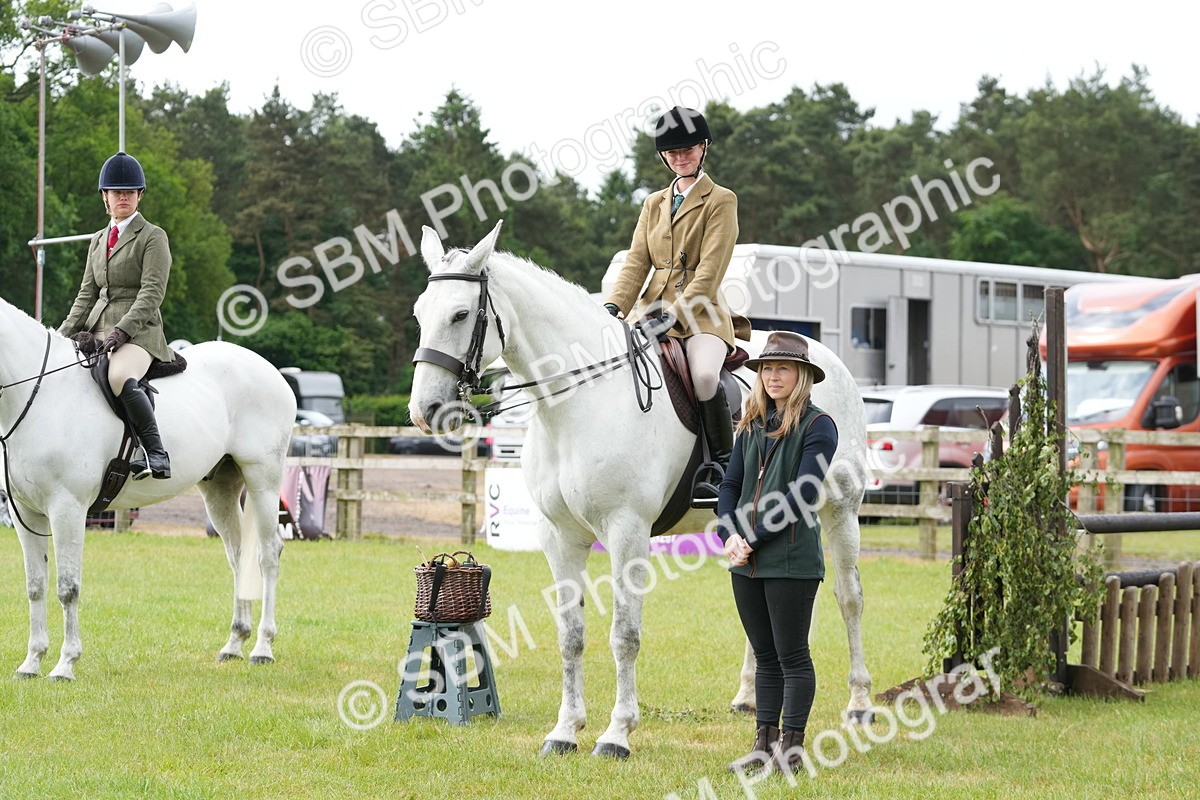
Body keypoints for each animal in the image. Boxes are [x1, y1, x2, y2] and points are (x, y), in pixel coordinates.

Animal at [0, 296, 296, 680]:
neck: (38, 395)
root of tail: (272, 372)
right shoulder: (26, 513)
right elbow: (35, 586)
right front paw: (32, 662)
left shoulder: (68, 509)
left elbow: (68, 588)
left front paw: (65, 664)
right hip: (220, 488)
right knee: (237, 555)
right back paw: (234, 644)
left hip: (264, 480)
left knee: (268, 555)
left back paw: (262, 647)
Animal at [409, 222, 872, 758]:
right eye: (419, 312)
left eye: (461, 314)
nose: (425, 410)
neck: (578, 404)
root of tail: (827, 360)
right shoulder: (558, 537)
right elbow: (571, 635)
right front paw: (564, 730)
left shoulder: (626, 530)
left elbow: (624, 635)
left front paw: (617, 734)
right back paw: (749, 697)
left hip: (841, 508)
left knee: (848, 596)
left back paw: (860, 704)